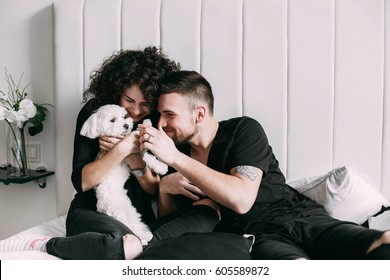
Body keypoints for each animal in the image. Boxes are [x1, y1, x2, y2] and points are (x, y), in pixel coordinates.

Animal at [80, 104, 168, 244]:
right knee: (134, 225)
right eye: (112, 120)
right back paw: (145, 236)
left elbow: (147, 158)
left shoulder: (132, 160)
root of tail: (102, 208)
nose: (126, 125)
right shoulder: (129, 154)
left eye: (124, 116)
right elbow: (142, 147)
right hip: (125, 209)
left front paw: (161, 167)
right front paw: (146, 125)